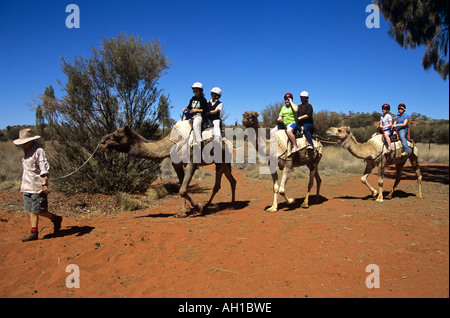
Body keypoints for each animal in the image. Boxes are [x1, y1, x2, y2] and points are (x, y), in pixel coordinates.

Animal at [99, 120, 237, 217]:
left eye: (117, 135)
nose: (102, 141)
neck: (172, 143)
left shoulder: (191, 163)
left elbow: (182, 190)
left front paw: (198, 207)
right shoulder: (176, 164)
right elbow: (182, 188)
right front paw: (183, 212)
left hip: (222, 161)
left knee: (219, 183)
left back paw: (218, 205)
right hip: (224, 164)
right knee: (231, 180)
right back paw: (223, 204)